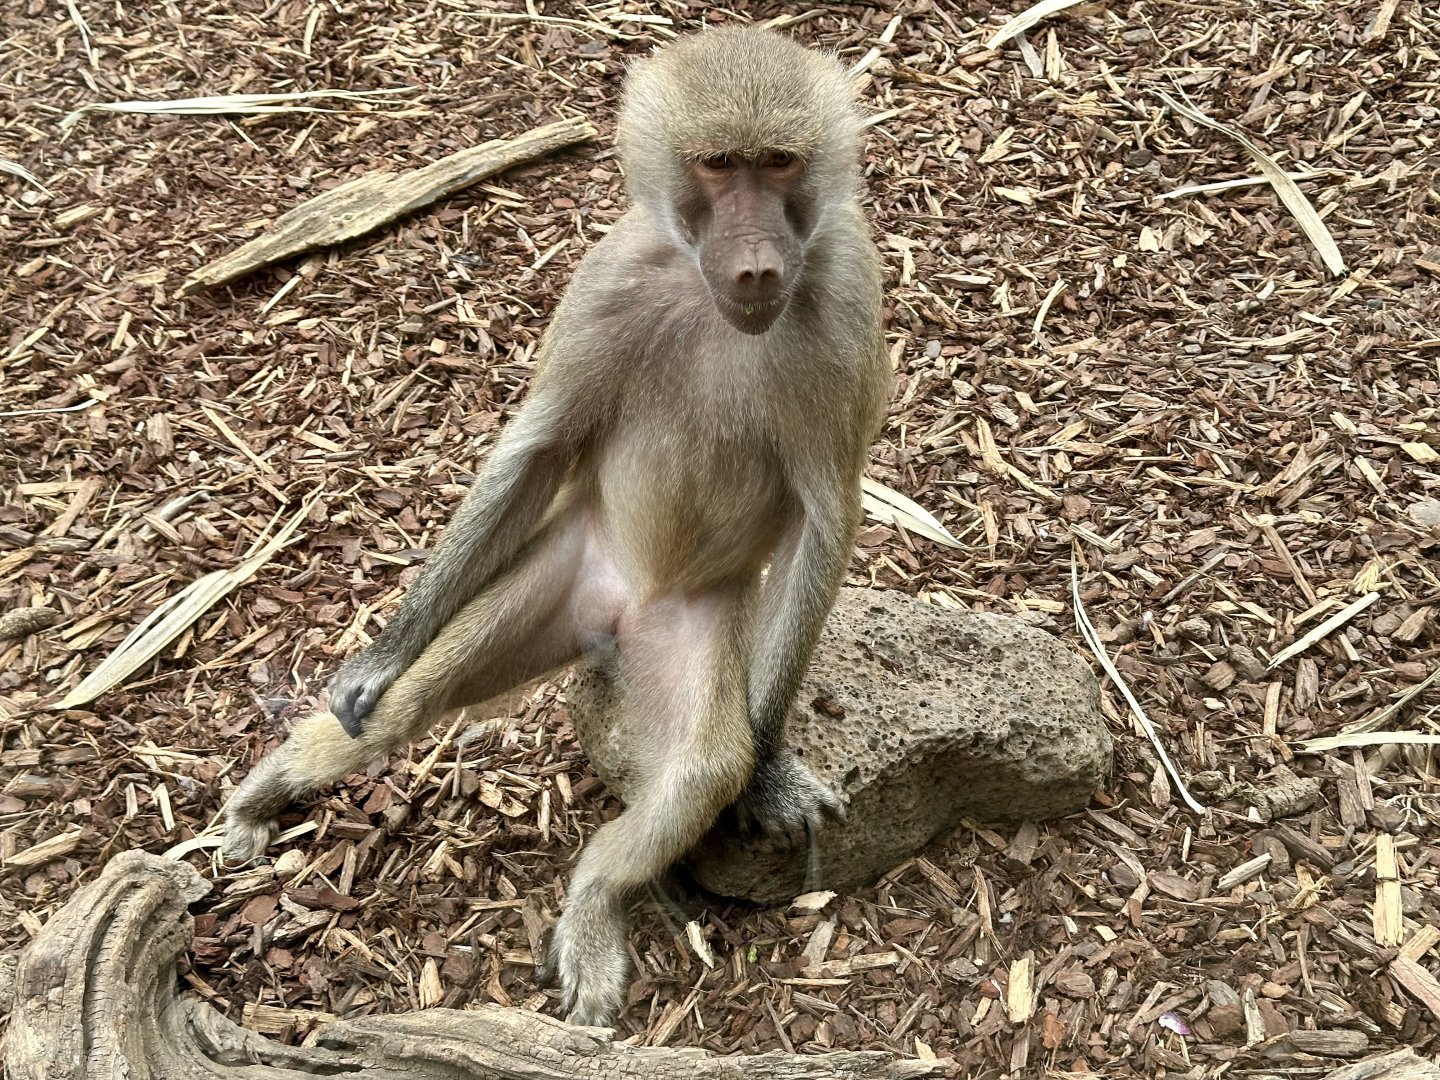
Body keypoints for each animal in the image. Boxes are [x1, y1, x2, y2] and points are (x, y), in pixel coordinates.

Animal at [221, 25, 891, 1028]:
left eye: (779, 162)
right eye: (718, 164)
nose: (757, 265)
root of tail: (614, 619)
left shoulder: (846, 300)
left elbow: (824, 520)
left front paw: (769, 770)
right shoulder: (606, 283)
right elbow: (538, 450)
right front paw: (381, 655)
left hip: (686, 626)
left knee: (698, 768)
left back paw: (595, 908)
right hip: (563, 571)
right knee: (409, 707)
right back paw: (273, 789)